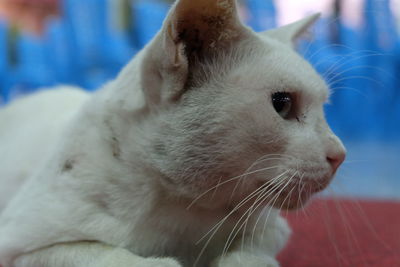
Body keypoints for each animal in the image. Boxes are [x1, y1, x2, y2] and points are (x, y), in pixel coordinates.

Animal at [0, 0, 344, 267]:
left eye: (325, 107)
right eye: (282, 104)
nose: (339, 154)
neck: (183, 210)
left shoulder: (270, 231)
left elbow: (247, 257)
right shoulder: (21, 244)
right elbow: (110, 255)